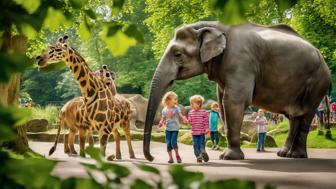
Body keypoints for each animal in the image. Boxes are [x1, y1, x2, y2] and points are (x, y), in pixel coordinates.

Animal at [142, 20, 330, 160]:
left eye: (178, 54)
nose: (151, 158)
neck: (212, 26)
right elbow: (222, 102)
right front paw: (227, 155)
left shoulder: (240, 61)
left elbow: (233, 101)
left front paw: (229, 157)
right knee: (294, 116)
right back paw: (284, 154)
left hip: (317, 82)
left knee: (305, 114)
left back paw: (296, 155)